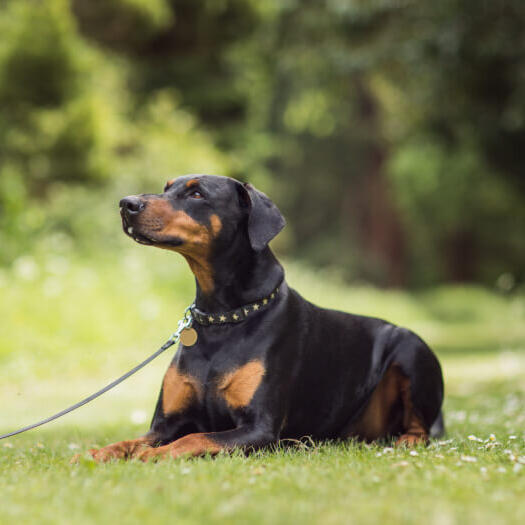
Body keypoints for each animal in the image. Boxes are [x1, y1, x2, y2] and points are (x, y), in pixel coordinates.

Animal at [89, 174, 442, 460]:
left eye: (197, 194)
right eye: (166, 188)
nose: (126, 203)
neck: (223, 317)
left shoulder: (260, 428)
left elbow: (195, 438)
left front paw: (155, 455)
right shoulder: (164, 425)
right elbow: (129, 441)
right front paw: (94, 454)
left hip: (411, 348)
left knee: (421, 428)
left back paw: (408, 440)